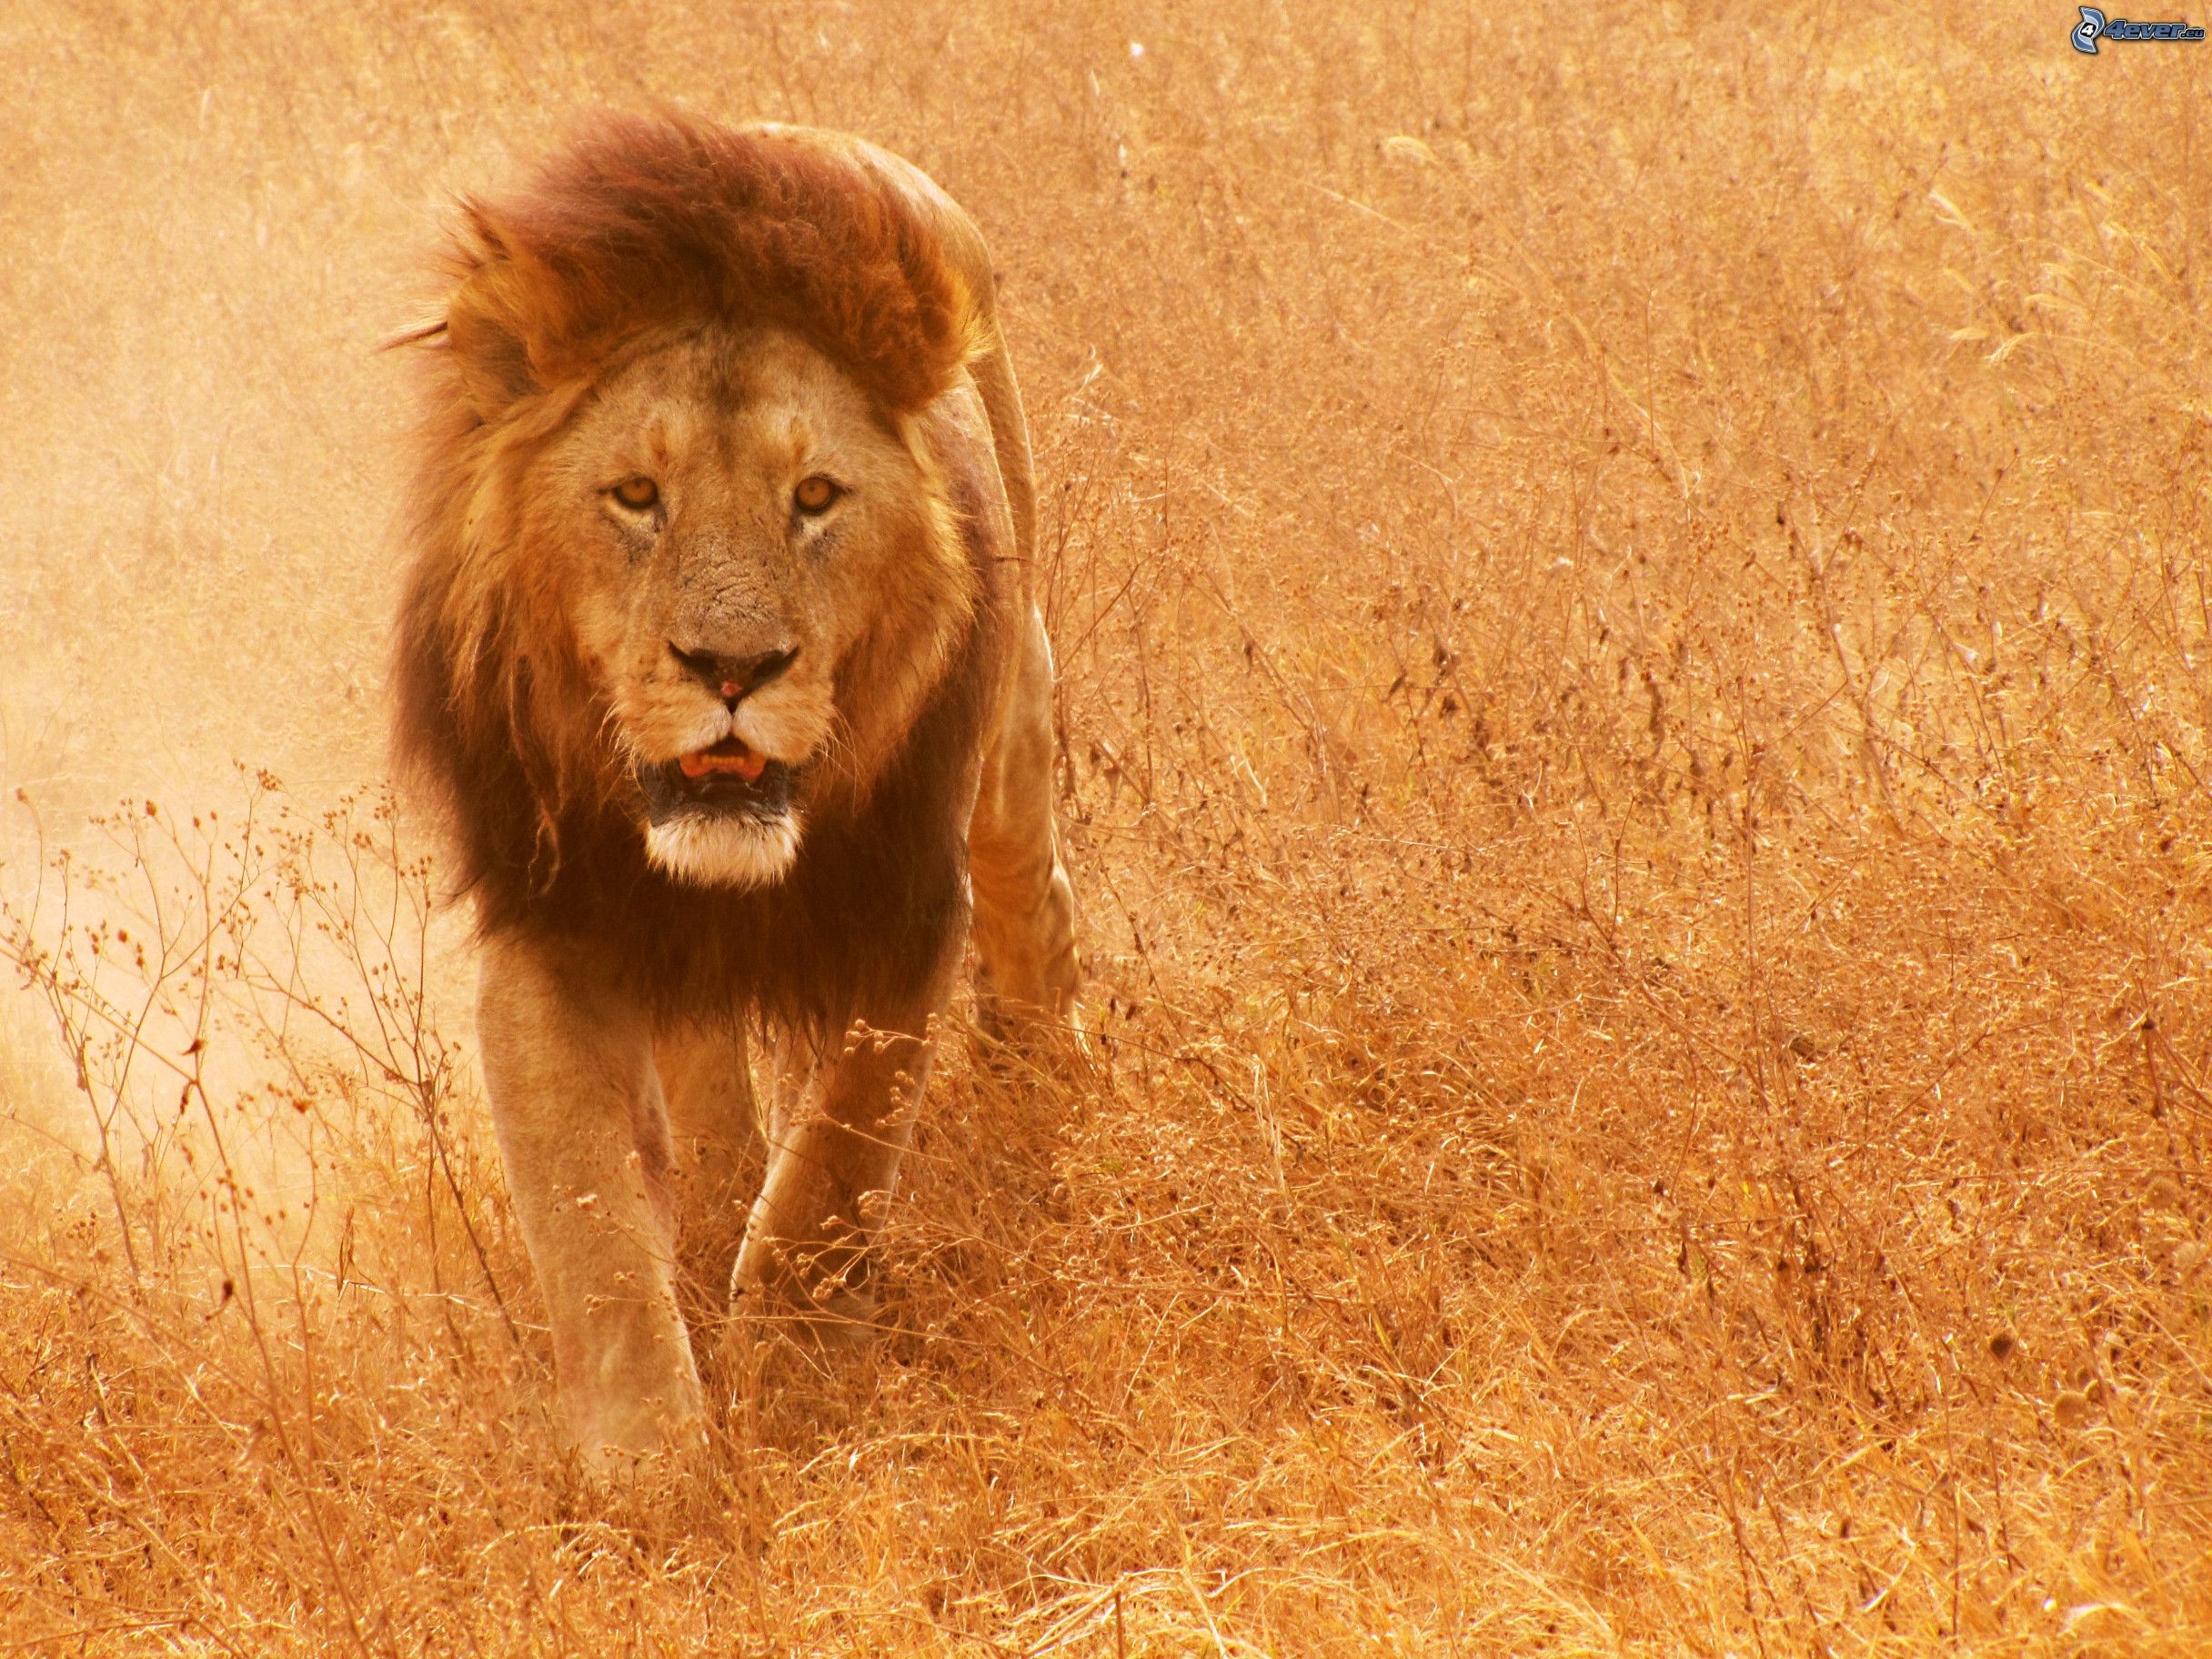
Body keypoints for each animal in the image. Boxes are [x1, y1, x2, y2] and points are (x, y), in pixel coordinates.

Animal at [391, 113, 1080, 1470]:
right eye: (634, 497)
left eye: (813, 497)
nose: (730, 667)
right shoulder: (549, 928)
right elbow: (592, 1228)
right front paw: (651, 1472)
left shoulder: (905, 911)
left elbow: (830, 1173)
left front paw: (804, 1390)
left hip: (1014, 721)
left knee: (1034, 889)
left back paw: (1056, 1091)